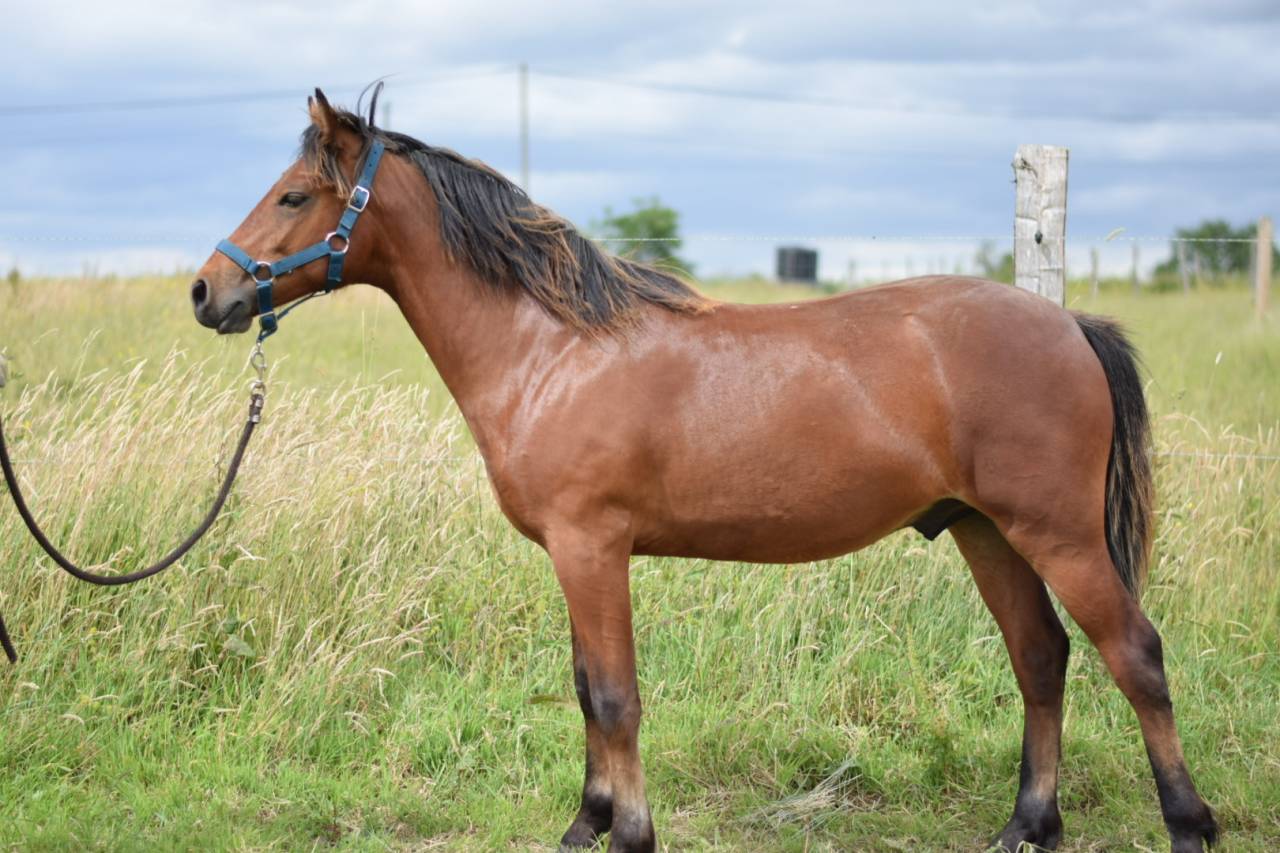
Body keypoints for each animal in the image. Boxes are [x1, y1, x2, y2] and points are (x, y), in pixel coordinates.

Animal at [190, 89, 1217, 853]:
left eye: (294, 196)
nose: (209, 290)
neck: (553, 349)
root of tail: (1067, 323)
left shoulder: (592, 546)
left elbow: (615, 695)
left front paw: (631, 832)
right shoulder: (572, 554)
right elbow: (585, 687)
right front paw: (587, 823)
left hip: (1057, 533)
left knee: (1135, 655)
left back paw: (1188, 823)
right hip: (985, 530)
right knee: (1041, 656)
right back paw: (1027, 825)